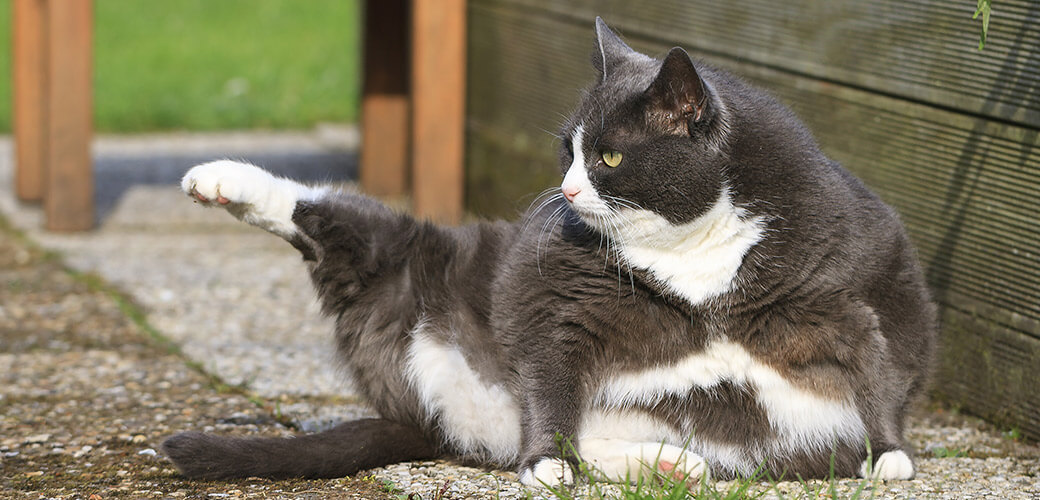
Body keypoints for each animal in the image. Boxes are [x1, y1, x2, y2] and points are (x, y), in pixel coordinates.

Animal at [162, 18, 935, 482]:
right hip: (405, 260)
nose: (563, 192)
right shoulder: (555, 300)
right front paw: (544, 466)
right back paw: (216, 180)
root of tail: (433, 419)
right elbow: (550, 370)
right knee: (333, 224)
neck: (695, 255)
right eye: (569, 150)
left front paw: (890, 456)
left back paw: (670, 467)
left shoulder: (862, 290)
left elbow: (881, 368)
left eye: (610, 156)